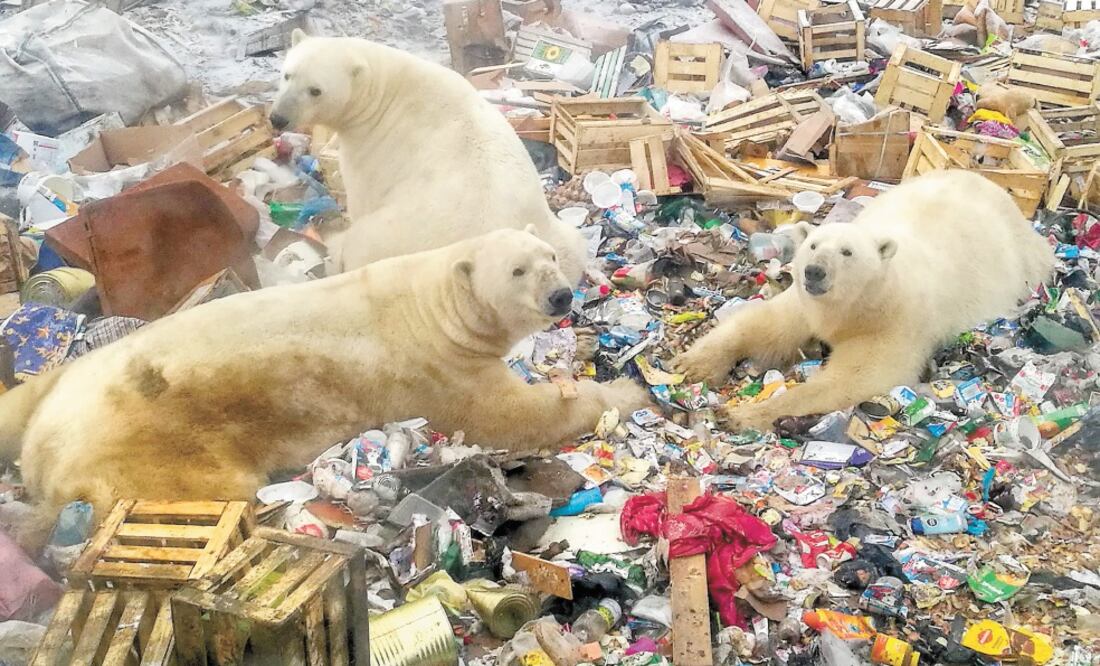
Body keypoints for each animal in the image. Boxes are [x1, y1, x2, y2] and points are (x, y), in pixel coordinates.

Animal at [0, 229, 649, 548]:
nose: (560, 295)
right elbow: (512, 415)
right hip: (151, 451)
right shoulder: (438, 371)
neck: (435, 307)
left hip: (63, 380)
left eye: (550, 256)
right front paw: (629, 395)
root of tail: (44, 458)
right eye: (517, 271)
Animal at [269, 32, 587, 283]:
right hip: (554, 234)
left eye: (316, 90)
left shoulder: (373, 146)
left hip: (392, 238)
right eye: (287, 74)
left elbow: (361, 196)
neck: (385, 87)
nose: (278, 118)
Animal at [673, 170, 1055, 431]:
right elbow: (763, 325)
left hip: (1024, 261)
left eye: (847, 252)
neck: (858, 305)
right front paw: (693, 365)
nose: (814, 271)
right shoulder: (806, 305)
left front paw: (742, 414)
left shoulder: (892, 323)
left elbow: (854, 378)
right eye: (813, 245)